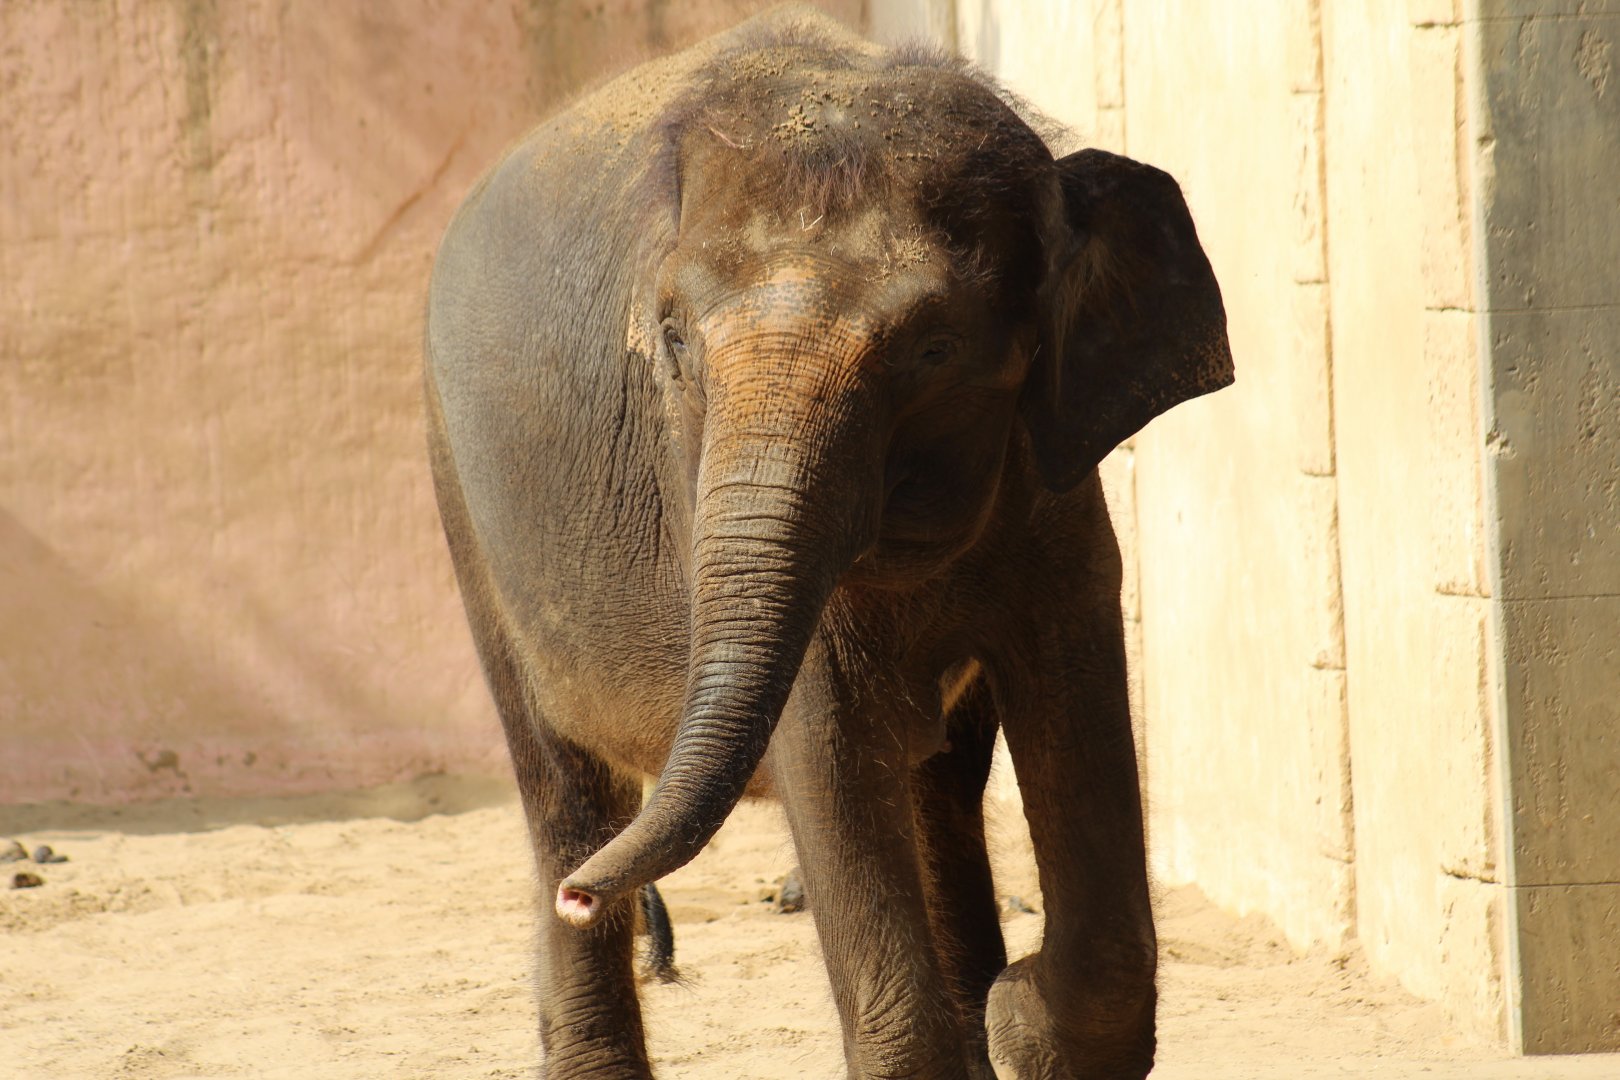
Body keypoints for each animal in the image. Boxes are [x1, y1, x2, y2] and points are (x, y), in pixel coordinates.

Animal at [424, 8, 1232, 1079]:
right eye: (672, 339)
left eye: (934, 347)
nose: (589, 894)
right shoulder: (693, 464)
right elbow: (833, 741)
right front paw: (995, 1021)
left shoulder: (1055, 499)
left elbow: (1069, 691)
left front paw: (1019, 1018)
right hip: (461, 498)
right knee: (562, 786)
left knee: (940, 785)